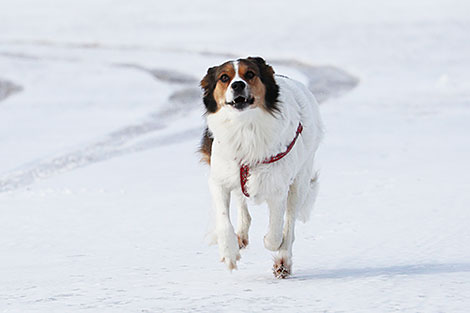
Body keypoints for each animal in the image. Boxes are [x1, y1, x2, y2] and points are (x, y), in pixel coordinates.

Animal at [198, 56, 324, 278]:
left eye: (250, 74)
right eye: (224, 78)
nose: (238, 85)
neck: (245, 127)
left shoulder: (278, 186)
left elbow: (276, 231)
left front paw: (271, 243)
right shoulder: (220, 179)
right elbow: (224, 219)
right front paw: (229, 251)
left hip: (299, 181)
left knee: (289, 223)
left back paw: (283, 261)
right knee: (241, 202)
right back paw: (240, 237)